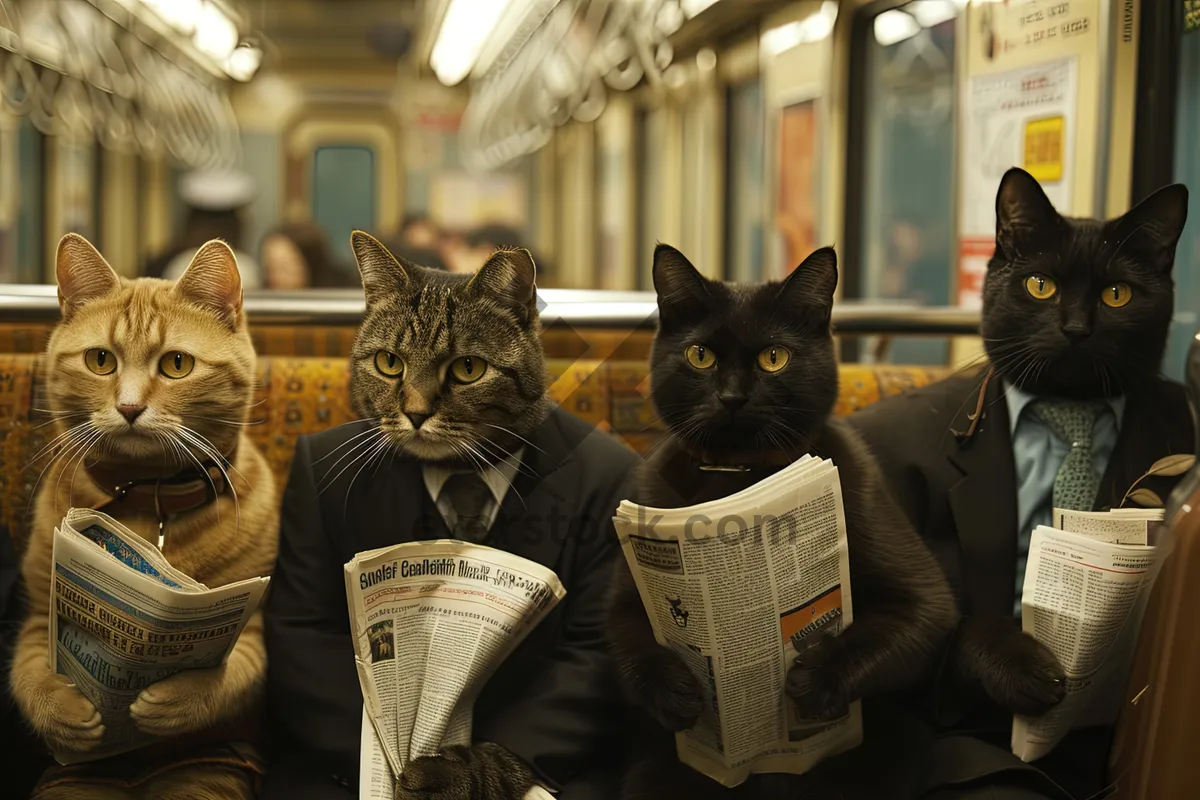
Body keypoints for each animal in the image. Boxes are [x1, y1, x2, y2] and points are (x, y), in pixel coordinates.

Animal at [10, 235, 277, 796]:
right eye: (100, 361)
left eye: (176, 364)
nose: (129, 408)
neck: (145, 502)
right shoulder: (38, 610)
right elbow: (29, 673)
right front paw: (69, 711)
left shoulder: (254, 624)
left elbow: (232, 675)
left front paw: (167, 702)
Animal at [609, 245, 955, 800]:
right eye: (700, 355)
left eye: (775, 358)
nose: (732, 397)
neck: (741, 475)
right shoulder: (631, 577)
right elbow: (628, 640)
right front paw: (681, 692)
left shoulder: (924, 598)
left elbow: (906, 623)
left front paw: (812, 681)